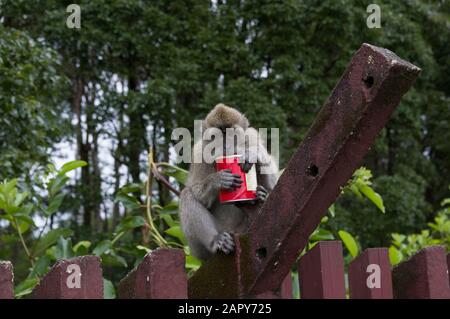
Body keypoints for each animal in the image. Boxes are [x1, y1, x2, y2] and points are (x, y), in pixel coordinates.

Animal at [178, 104, 278, 262]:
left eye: (232, 135)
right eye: (215, 137)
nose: (225, 147)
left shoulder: (253, 136)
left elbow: (274, 186)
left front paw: (253, 154)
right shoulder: (199, 152)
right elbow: (194, 190)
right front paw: (217, 180)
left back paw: (259, 198)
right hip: (199, 249)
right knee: (187, 195)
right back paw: (216, 240)